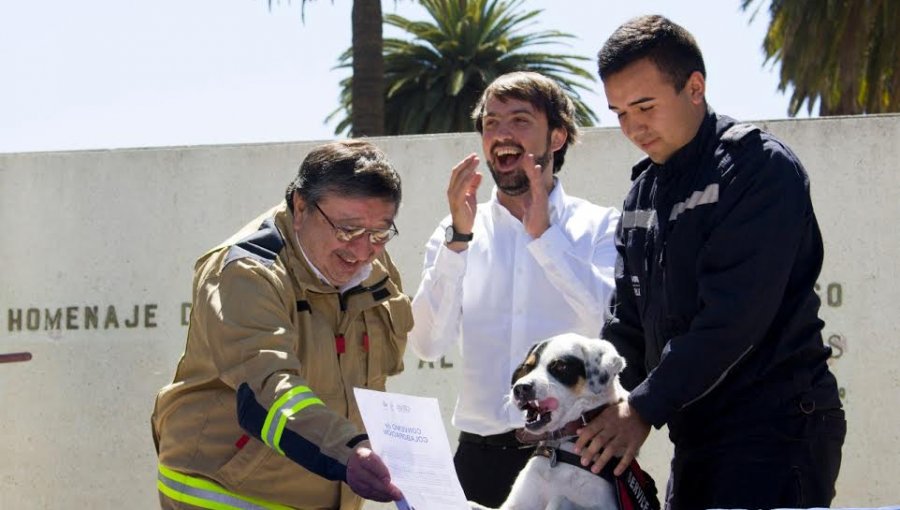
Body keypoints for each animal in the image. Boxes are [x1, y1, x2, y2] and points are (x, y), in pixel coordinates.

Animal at [468, 332, 652, 508]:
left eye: (560, 366)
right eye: (528, 367)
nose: (519, 389)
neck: (558, 449)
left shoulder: (603, 506)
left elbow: (559, 498)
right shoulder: (513, 505)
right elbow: (472, 504)